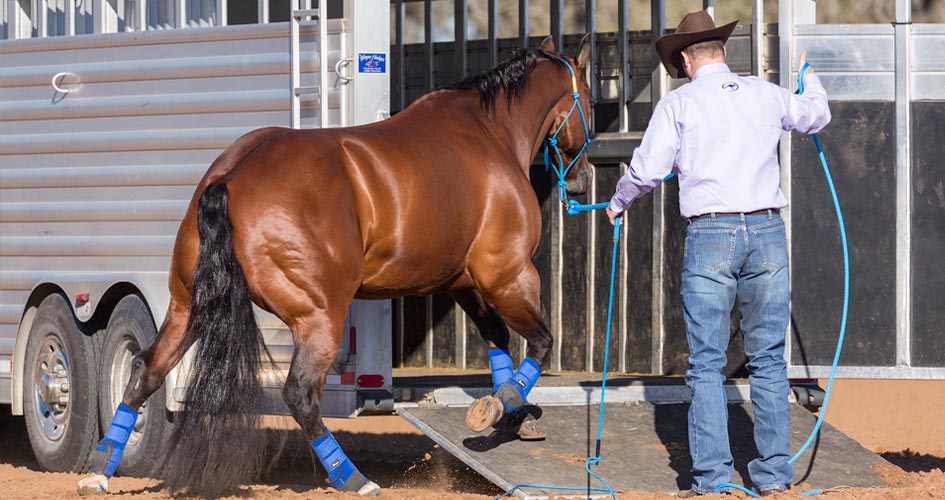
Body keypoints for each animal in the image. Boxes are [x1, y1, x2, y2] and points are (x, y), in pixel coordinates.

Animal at [77, 35, 594, 497]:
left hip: (189, 309)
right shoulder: (509, 276)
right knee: (300, 394)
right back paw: (353, 478)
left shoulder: (463, 283)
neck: (488, 134)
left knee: (145, 372)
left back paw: (100, 470)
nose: (584, 179)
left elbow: (499, 341)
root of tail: (231, 176)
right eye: (589, 100)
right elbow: (540, 343)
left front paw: (511, 417)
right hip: (319, 317)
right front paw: (508, 405)